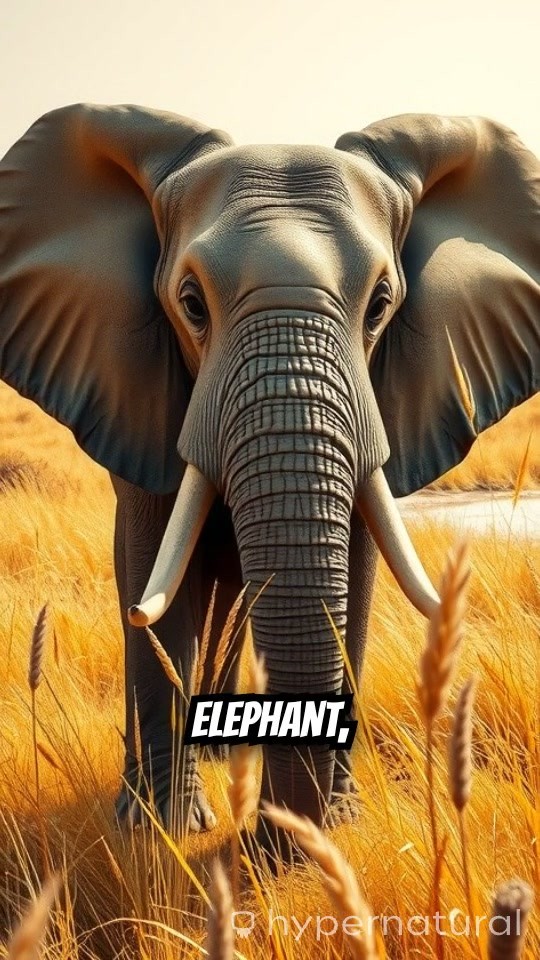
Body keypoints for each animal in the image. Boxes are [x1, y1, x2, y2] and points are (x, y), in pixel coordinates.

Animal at [0, 105, 538, 848]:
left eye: (381, 304)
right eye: (191, 303)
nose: (263, 836)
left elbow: (358, 582)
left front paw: (340, 823)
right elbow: (155, 580)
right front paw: (168, 830)